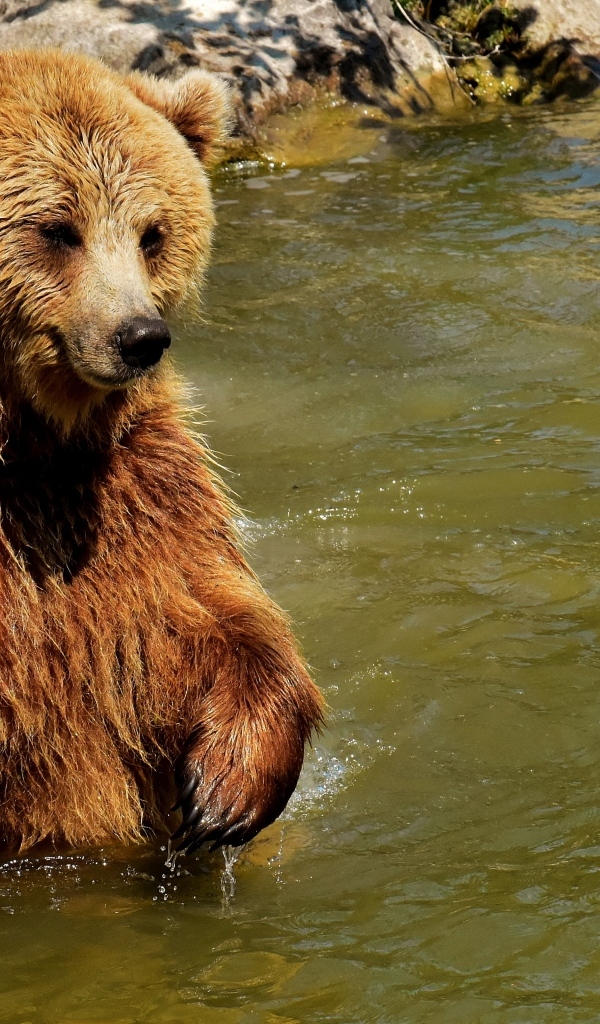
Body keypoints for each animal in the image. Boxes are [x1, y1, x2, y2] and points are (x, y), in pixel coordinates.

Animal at [0, 48, 324, 855]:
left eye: (152, 232)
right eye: (58, 228)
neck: (28, 442)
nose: (139, 336)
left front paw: (226, 789)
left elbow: (205, 613)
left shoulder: (133, 488)